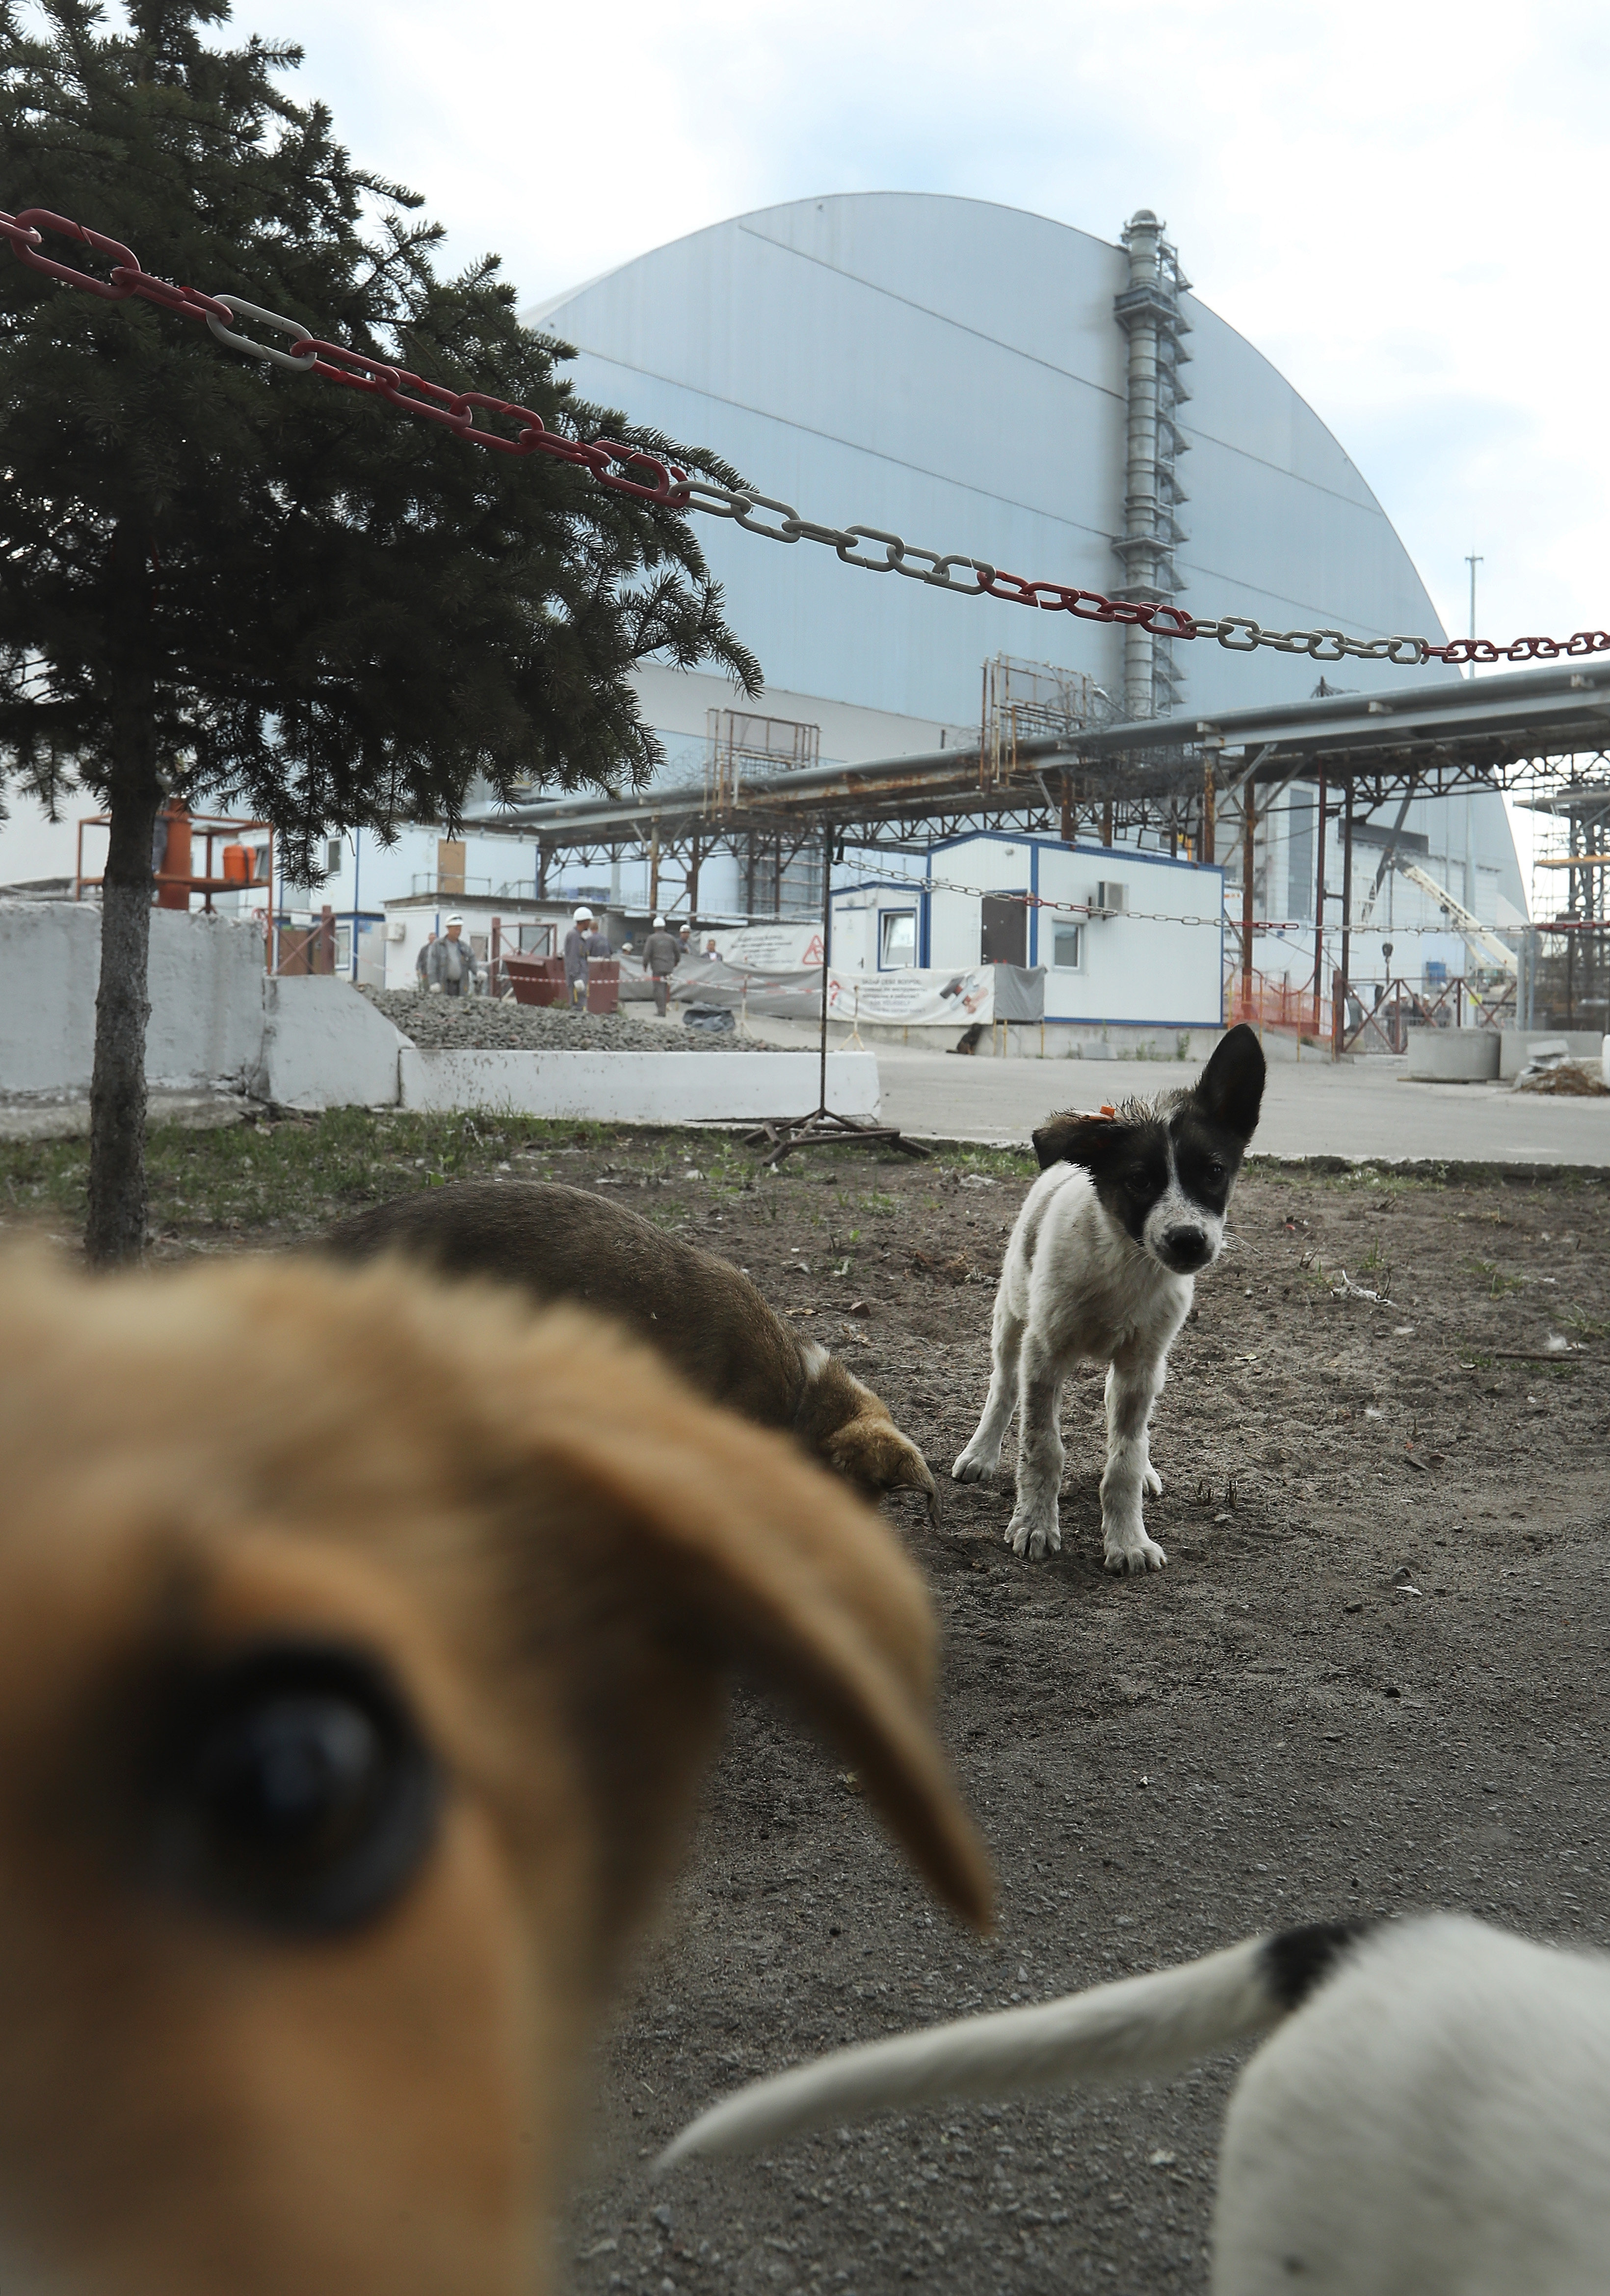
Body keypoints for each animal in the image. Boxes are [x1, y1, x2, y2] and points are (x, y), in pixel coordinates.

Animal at [946, 1033, 1258, 1570]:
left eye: (1214, 1172)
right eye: (1139, 1180)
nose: (1188, 1241)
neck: (1125, 1265)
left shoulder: (1140, 1365)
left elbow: (1124, 1459)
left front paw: (1128, 1539)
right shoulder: (1043, 1354)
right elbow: (1041, 1446)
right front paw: (1033, 1524)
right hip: (1011, 1319)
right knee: (1002, 1387)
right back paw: (981, 1452)